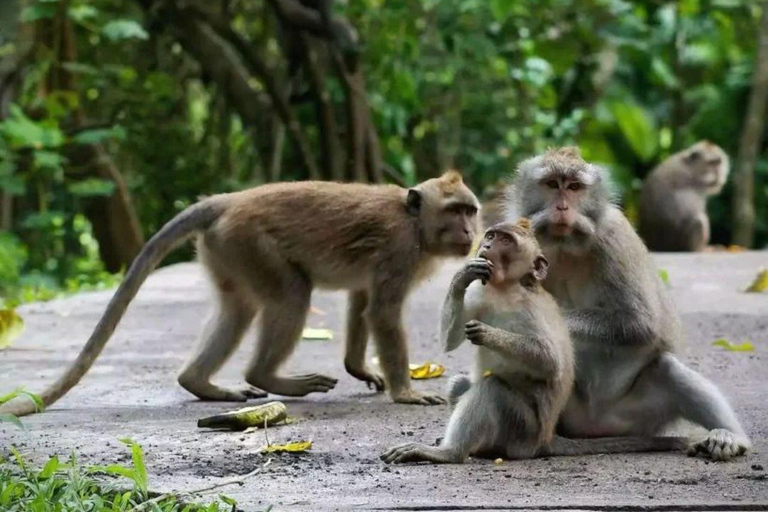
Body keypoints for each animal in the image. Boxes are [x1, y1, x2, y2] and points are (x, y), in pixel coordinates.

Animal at [1, 172, 481, 417]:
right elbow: (382, 311)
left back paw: (199, 383)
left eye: (470, 210)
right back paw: (265, 376)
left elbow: (362, 301)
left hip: (225, 249)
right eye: (455, 211)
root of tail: (228, 201)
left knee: (240, 308)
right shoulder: (399, 250)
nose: (470, 232)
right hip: (249, 241)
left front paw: (359, 368)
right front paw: (406, 392)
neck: (415, 223)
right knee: (291, 294)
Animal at [381, 219, 686, 464]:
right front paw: (462, 275)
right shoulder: (481, 293)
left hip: (523, 431)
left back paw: (449, 453)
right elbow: (451, 340)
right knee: (464, 385)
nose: (486, 245)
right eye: (490, 235)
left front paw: (489, 334)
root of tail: (546, 438)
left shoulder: (532, 309)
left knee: (493, 389)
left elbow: (550, 362)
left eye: (505, 240)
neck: (506, 290)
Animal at [505, 146, 750, 461]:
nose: (561, 208)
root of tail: (593, 425)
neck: (563, 246)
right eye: (551, 184)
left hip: (637, 416)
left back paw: (731, 436)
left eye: (574, 187)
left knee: (668, 370)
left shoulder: (615, 239)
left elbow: (640, 325)